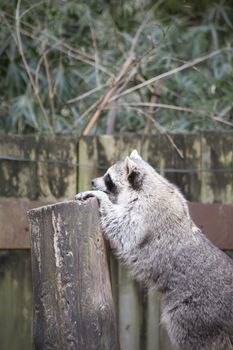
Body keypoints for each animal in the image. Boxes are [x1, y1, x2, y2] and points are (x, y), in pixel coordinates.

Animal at [75, 150, 233, 350]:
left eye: (108, 178)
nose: (93, 182)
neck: (150, 183)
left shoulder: (145, 213)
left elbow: (124, 229)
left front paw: (100, 196)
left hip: (196, 314)